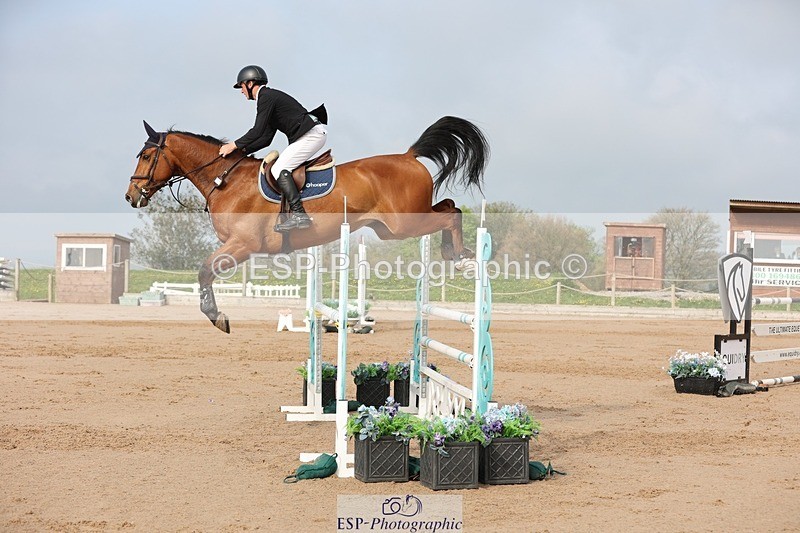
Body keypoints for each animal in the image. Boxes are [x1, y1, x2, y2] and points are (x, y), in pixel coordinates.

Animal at [125, 116, 489, 333]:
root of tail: (409, 155)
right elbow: (205, 273)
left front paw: (218, 318)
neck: (226, 180)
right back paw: (456, 253)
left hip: (405, 223)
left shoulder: (243, 245)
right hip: (393, 227)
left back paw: (461, 258)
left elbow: (204, 271)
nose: (131, 196)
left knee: (451, 213)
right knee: (449, 207)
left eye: (146, 157)